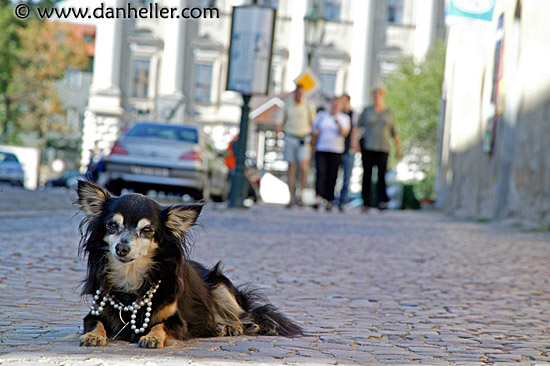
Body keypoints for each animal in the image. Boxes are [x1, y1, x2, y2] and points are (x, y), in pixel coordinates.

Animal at [76, 182, 302, 348]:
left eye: (147, 231)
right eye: (111, 226)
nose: (121, 248)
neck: (131, 277)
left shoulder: (178, 322)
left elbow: (160, 326)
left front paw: (152, 336)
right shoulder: (94, 313)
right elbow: (95, 323)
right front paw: (93, 335)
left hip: (220, 286)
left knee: (242, 315)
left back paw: (230, 326)